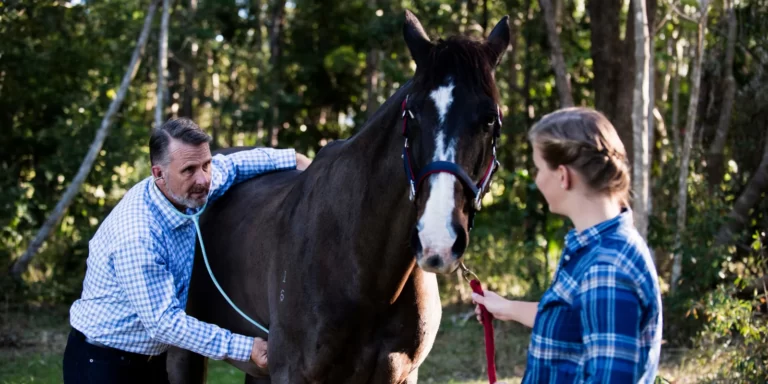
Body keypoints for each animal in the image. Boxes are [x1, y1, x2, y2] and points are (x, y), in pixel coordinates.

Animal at [168, 9, 510, 384]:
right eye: (413, 113)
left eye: (490, 119)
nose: (438, 242)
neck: (364, 272)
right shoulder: (291, 373)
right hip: (184, 353)